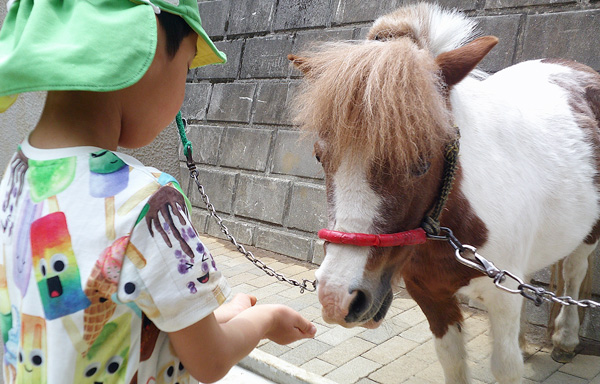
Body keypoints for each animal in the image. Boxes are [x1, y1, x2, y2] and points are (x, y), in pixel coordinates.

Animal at [288, 3, 596, 384]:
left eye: (421, 161)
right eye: (320, 157)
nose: (337, 297)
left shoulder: (501, 298)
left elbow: (506, 367)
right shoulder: (430, 294)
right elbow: (451, 358)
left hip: (588, 235)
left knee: (574, 272)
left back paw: (566, 338)